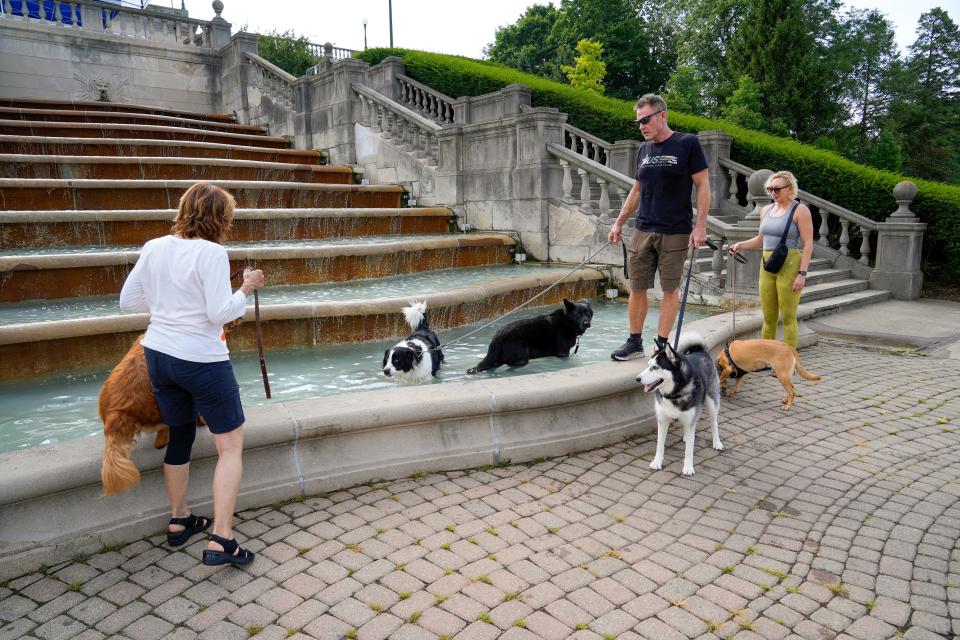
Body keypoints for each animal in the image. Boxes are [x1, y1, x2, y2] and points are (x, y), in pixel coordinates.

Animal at [636, 336, 720, 476]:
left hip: (713, 402)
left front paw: (688, 467)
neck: (673, 394)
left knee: (714, 423)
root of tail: (700, 351)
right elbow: (660, 444)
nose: (637, 378)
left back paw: (717, 443)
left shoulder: (691, 418)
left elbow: (689, 449)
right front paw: (657, 462)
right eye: (648, 365)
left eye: (655, 367)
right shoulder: (662, 421)